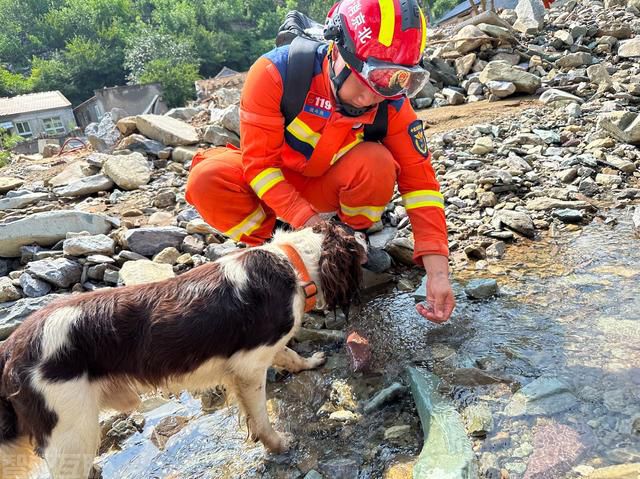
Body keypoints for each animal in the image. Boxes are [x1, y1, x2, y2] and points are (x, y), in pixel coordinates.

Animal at [0, 223, 368, 478]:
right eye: (350, 234)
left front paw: (309, 362)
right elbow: (261, 417)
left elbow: (289, 355)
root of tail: (12, 348)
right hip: (71, 429)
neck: (291, 261)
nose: (365, 231)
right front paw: (279, 444)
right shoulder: (248, 366)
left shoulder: (263, 350)